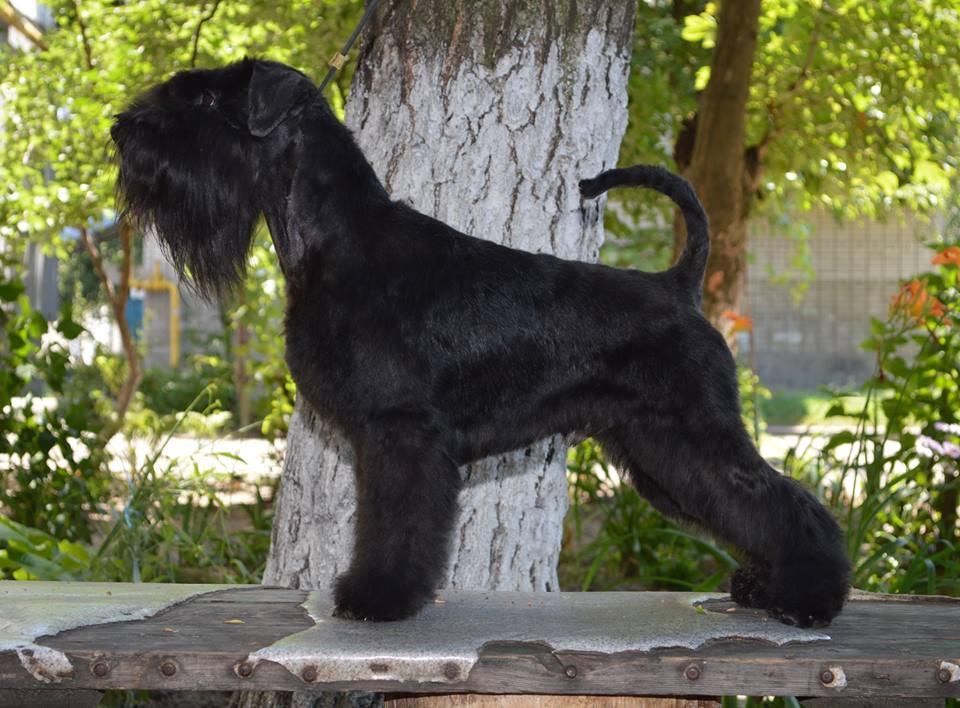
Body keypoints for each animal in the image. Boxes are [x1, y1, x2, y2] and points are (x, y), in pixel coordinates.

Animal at [111, 58, 850, 627]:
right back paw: (764, 586)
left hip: (695, 434)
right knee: (748, 504)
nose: (122, 129)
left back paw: (809, 598)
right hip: (660, 452)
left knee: (781, 500)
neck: (339, 239)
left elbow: (394, 523)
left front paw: (377, 597)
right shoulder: (386, 436)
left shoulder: (402, 431)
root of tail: (679, 285)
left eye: (209, 100)